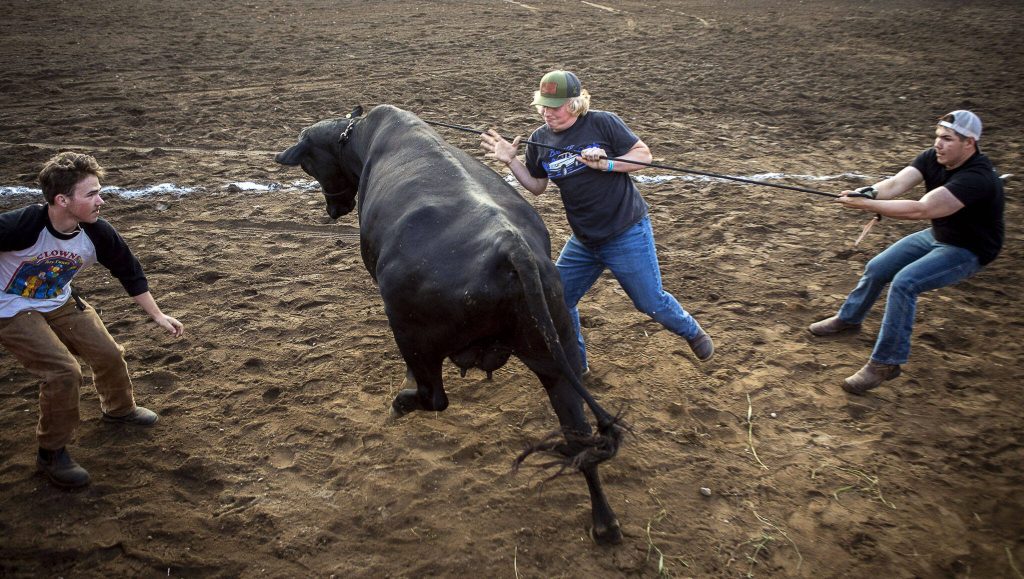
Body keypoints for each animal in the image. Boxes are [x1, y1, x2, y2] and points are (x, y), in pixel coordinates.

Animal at [275, 104, 625, 544]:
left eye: (309, 163)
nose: (331, 209)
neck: (363, 138)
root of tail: (510, 248)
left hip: (411, 333)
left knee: (433, 396)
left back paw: (401, 402)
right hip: (553, 356)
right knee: (578, 438)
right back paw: (605, 523)